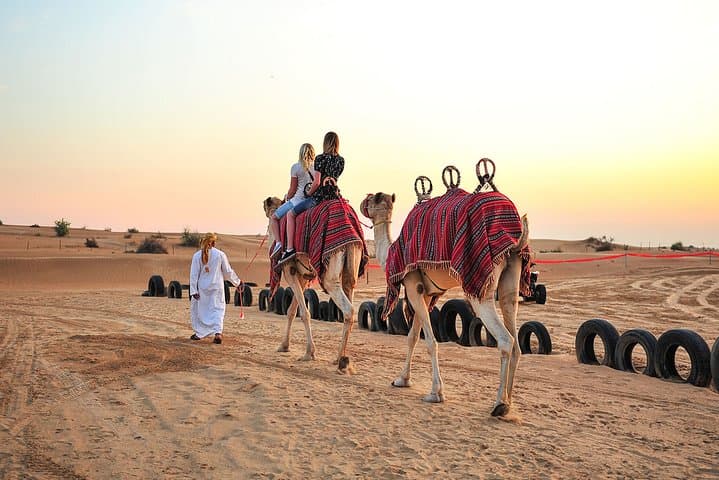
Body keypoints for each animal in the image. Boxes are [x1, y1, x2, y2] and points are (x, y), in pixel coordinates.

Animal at [263, 196, 365, 374]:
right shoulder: (303, 275)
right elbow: (291, 310)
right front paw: (284, 346)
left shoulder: (289, 270)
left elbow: (304, 313)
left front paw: (309, 353)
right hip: (352, 265)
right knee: (350, 294)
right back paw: (340, 357)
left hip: (331, 273)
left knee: (349, 309)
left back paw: (342, 362)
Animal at [360, 171, 530, 417]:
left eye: (373, 198)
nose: (362, 201)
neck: (392, 250)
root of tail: (517, 234)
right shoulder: (425, 294)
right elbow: (412, 337)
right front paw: (402, 379)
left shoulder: (412, 285)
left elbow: (430, 342)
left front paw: (435, 393)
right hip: (511, 277)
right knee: (515, 336)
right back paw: (509, 403)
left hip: (482, 287)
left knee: (505, 339)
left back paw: (499, 404)